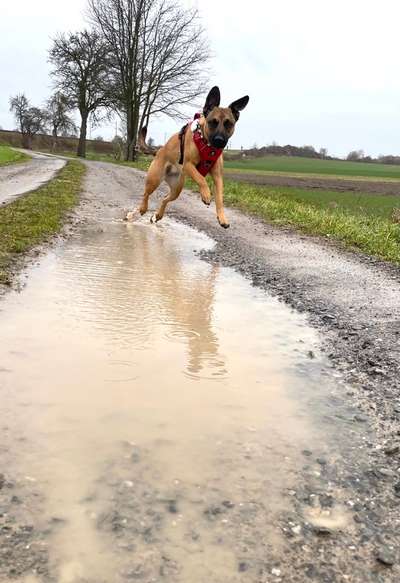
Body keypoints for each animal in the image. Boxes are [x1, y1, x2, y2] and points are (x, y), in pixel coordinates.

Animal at [126, 86, 248, 228]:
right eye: (213, 122)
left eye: (229, 124)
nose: (219, 140)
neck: (207, 145)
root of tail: (160, 150)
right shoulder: (189, 165)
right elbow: (201, 178)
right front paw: (206, 194)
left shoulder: (218, 177)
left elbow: (219, 199)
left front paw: (222, 217)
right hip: (154, 179)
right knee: (145, 194)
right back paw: (140, 210)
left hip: (176, 189)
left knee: (165, 199)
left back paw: (157, 215)